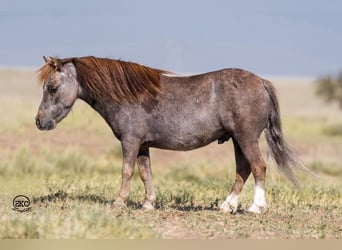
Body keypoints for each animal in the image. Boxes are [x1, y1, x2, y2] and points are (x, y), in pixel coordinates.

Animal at [36, 56, 306, 213]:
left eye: (53, 88)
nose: (39, 121)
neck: (127, 94)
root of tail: (261, 82)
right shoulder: (143, 145)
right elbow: (145, 173)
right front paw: (148, 204)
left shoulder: (130, 141)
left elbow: (127, 171)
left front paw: (119, 202)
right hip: (238, 140)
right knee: (243, 170)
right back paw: (227, 206)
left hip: (246, 137)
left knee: (258, 167)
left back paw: (256, 207)